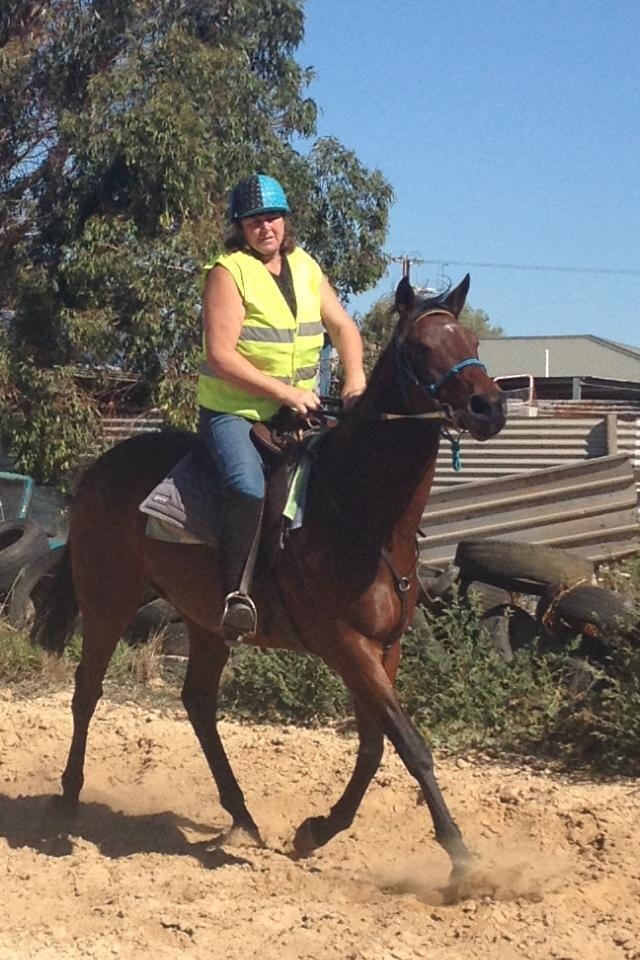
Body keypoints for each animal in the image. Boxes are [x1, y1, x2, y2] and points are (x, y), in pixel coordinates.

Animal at [33, 274, 504, 880]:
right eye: (422, 347)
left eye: (470, 339)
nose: (489, 406)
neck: (359, 512)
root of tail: (98, 469)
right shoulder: (345, 644)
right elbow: (410, 744)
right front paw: (460, 858)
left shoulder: (384, 648)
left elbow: (375, 746)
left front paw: (316, 831)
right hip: (108, 602)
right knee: (87, 690)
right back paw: (68, 798)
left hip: (207, 623)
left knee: (198, 703)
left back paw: (241, 814)